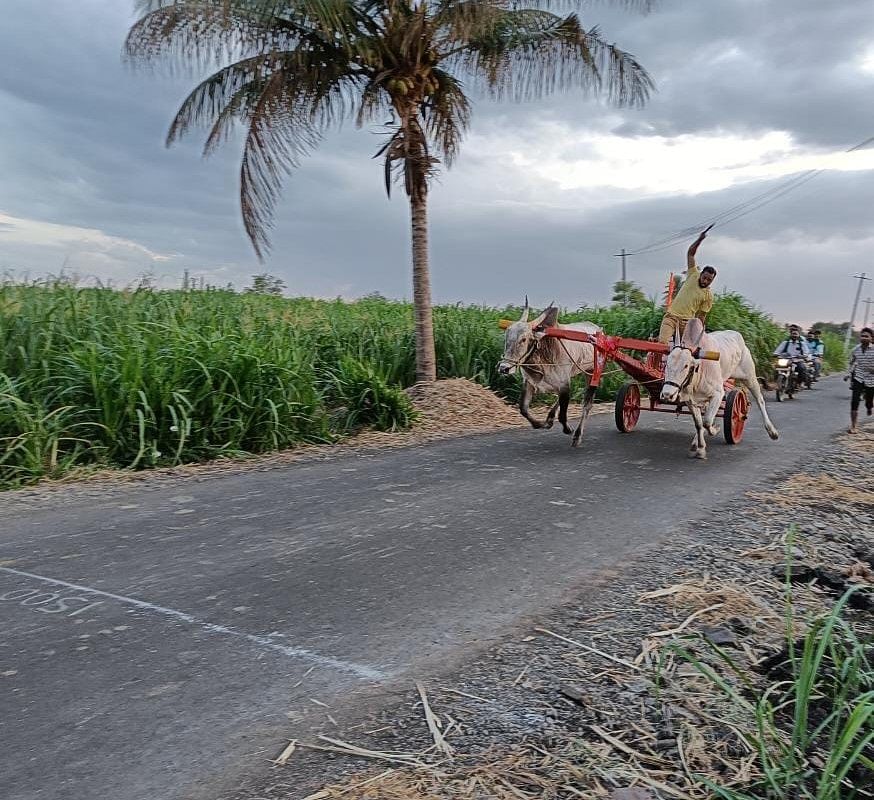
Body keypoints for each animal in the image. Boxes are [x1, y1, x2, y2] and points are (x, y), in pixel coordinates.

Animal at [498, 304, 600, 446]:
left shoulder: (564, 384)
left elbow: (563, 415)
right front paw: (541, 424)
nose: (504, 368)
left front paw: (568, 429)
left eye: (523, 339)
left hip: (592, 373)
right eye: (506, 338)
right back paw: (550, 418)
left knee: (587, 405)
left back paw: (577, 435)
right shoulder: (529, 382)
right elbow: (523, 409)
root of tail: (597, 329)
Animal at [660, 318, 776, 460]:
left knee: (760, 401)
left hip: (750, 377)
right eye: (666, 364)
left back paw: (772, 431)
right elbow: (699, 424)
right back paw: (695, 443)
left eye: (686, 366)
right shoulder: (690, 400)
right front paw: (701, 448)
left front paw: (715, 430)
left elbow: (707, 422)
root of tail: (738, 335)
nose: (667, 394)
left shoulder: (718, 394)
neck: (699, 371)